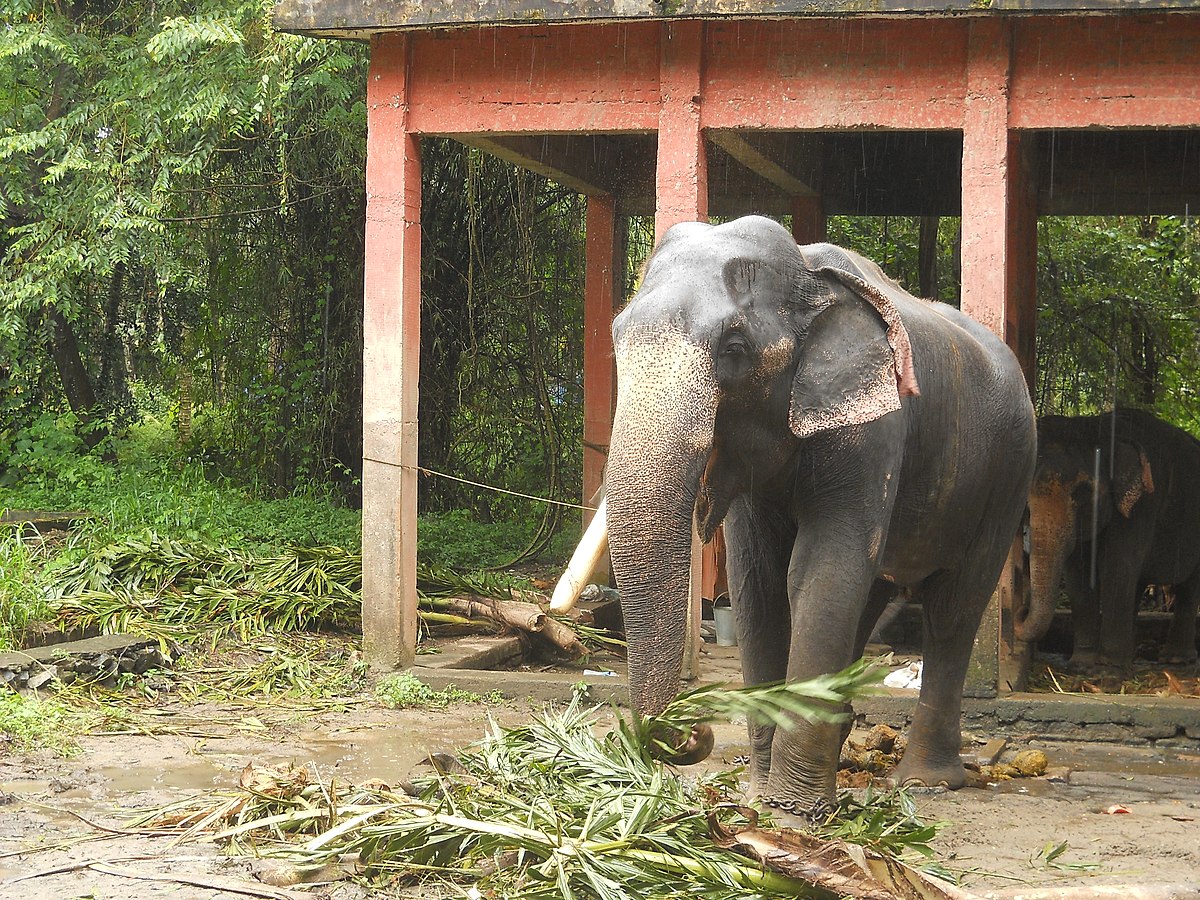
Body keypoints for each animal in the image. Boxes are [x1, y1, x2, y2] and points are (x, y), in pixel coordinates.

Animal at [552, 217, 1032, 811]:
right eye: (617, 339)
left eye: (735, 348)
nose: (695, 733)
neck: (810, 276)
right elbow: (760, 584)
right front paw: (759, 799)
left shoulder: (873, 427)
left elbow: (820, 572)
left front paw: (791, 816)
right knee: (871, 596)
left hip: (1008, 475)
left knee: (954, 608)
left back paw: (924, 781)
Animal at [1022, 408, 1200, 672]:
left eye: (1082, 492)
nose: (1019, 609)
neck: (1100, 428)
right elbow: (1078, 576)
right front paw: (1081, 664)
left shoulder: (1142, 507)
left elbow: (1117, 568)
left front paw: (1109, 666)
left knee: (1188, 587)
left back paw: (1175, 659)